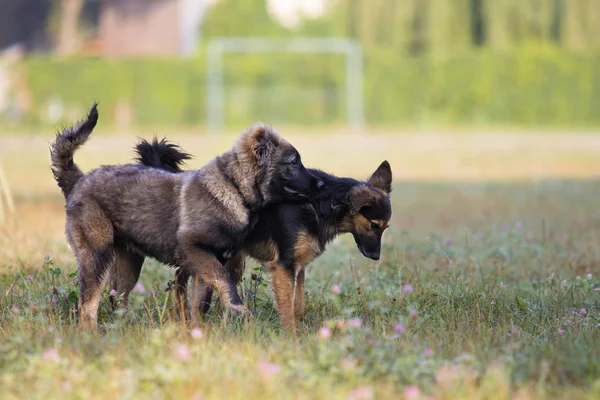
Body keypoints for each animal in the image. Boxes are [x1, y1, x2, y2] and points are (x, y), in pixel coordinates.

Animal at [50, 104, 324, 330]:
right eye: (293, 163)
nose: (321, 184)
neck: (234, 187)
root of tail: (78, 180)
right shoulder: (196, 250)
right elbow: (225, 281)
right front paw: (237, 308)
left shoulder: (207, 264)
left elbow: (200, 303)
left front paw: (196, 332)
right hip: (96, 255)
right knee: (87, 305)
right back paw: (91, 335)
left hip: (128, 264)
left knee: (116, 299)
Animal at [131, 138, 392, 332]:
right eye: (374, 225)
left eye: (386, 227)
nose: (376, 257)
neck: (322, 205)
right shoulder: (284, 265)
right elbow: (287, 308)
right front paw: (292, 339)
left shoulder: (298, 265)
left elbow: (298, 306)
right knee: (180, 280)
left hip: (231, 262)